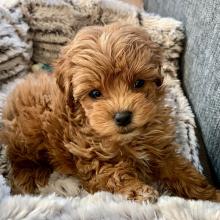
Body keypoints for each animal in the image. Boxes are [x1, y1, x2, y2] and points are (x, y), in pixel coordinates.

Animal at [0, 23, 219, 202]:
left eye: (138, 83)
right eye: (95, 93)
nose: (123, 117)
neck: (129, 140)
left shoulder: (159, 149)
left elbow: (181, 171)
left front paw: (209, 195)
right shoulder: (92, 159)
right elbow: (114, 174)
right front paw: (139, 191)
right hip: (29, 133)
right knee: (19, 162)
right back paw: (32, 179)